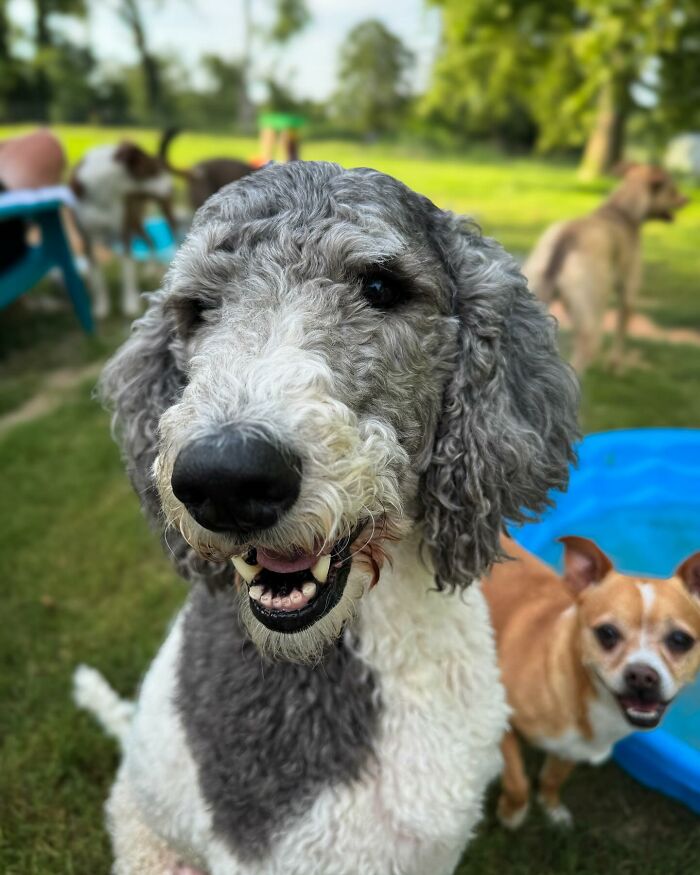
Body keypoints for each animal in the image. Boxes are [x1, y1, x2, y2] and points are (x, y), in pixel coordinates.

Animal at [70, 142, 178, 320]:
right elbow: (97, 275)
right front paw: (101, 306)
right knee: (149, 239)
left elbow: (127, 271)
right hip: (135, 220)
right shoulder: (86, 236)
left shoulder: (123, 231)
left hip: (157, 210)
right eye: (152, 170)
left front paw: (129, 304)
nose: (172, 187)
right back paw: (149, 270)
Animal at [484, 532, 700, 828]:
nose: (642, 676)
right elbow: (518, 783)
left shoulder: (575, 749)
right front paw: (512, 814)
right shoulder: (499, 725)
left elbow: (552, 778)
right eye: (607, 633)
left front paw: (551, 807)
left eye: (680, 640)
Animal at [524, 165, 688, 372]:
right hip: (589, 325)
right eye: (672, 190)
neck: (621, 211)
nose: (687, 199)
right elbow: (621, 330)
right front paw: (615, 365)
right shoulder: (628, 291)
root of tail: (566, 240)